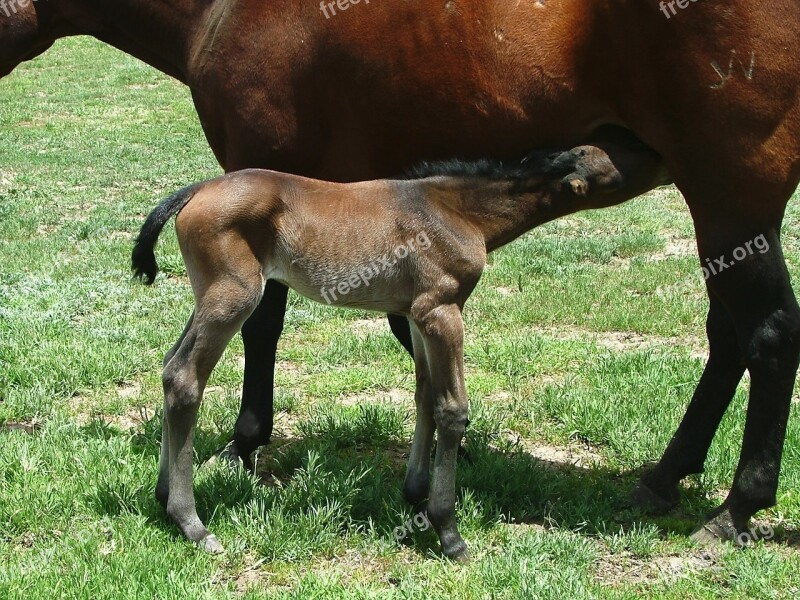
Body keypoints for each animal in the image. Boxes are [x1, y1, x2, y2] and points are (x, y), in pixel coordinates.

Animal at [134, 141, 664, 556]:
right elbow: (453, 410)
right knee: (184, 378)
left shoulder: (415, 315)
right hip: (234, 295)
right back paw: (192, 523)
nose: (656, 157)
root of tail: (195, 190)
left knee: (168, 367)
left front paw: (414, 493)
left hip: (208, 297)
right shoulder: (442, 310)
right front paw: (447, 530)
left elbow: (425, 395)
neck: (456, 211)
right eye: (614, 166)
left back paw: (162, 496)